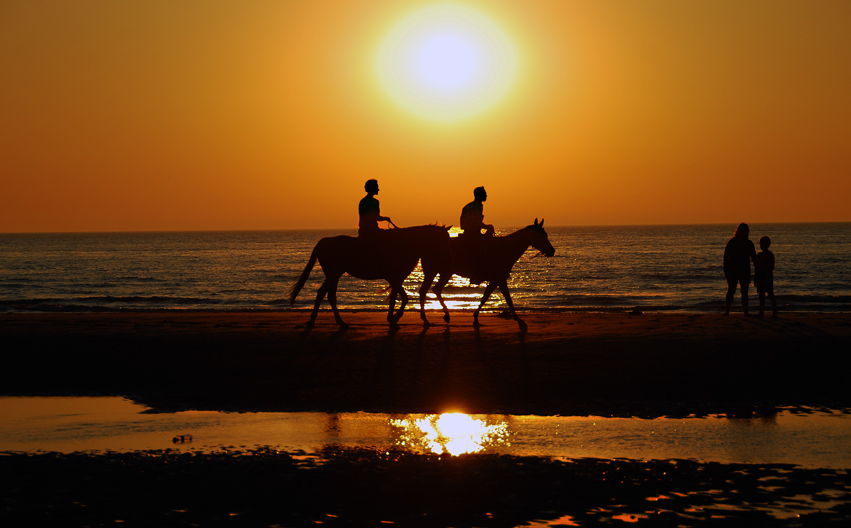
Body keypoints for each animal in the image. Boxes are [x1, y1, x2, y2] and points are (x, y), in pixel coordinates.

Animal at [290, 226, 452, 328]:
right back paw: (338, 322)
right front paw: (394, 318)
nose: (447, 258)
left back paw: (317, 321)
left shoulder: (396, 279)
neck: (404, 245)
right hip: (333, 274)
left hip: (333, 274)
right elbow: (404, 298)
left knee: (323, 293)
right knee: (328, 295)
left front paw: (392, 319)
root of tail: (324, 241)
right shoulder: (393, 277)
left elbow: (396, 297)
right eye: (444, 239)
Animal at [426, 218, 560, 326]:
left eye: (546, 234)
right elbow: (507, 299)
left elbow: (486, 296)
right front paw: (519, 320)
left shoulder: (496, 280)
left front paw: (476, 317)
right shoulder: (499, 279)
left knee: (436, 289)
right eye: (541, 236)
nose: (552, 251)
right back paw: (446, 315)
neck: (505, 249)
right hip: (446, 272)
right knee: (436, 289)